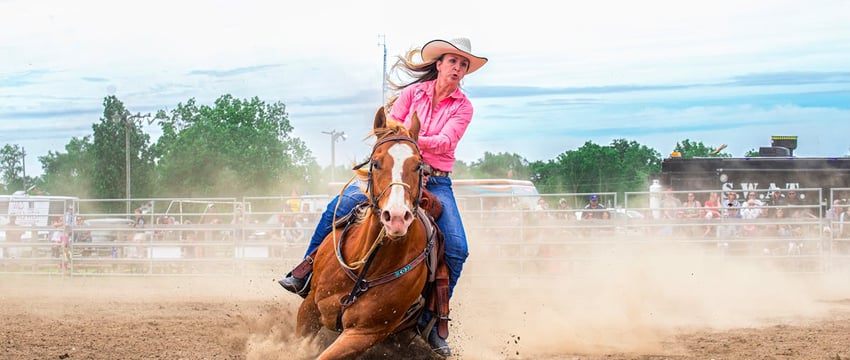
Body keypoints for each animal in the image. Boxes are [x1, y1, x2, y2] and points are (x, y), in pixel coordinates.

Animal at [296, 106, 444, 358]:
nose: (396, 217)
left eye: (418, 166)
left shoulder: (363, 334)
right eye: (375, 163)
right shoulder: (309, 309)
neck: (367, 269)